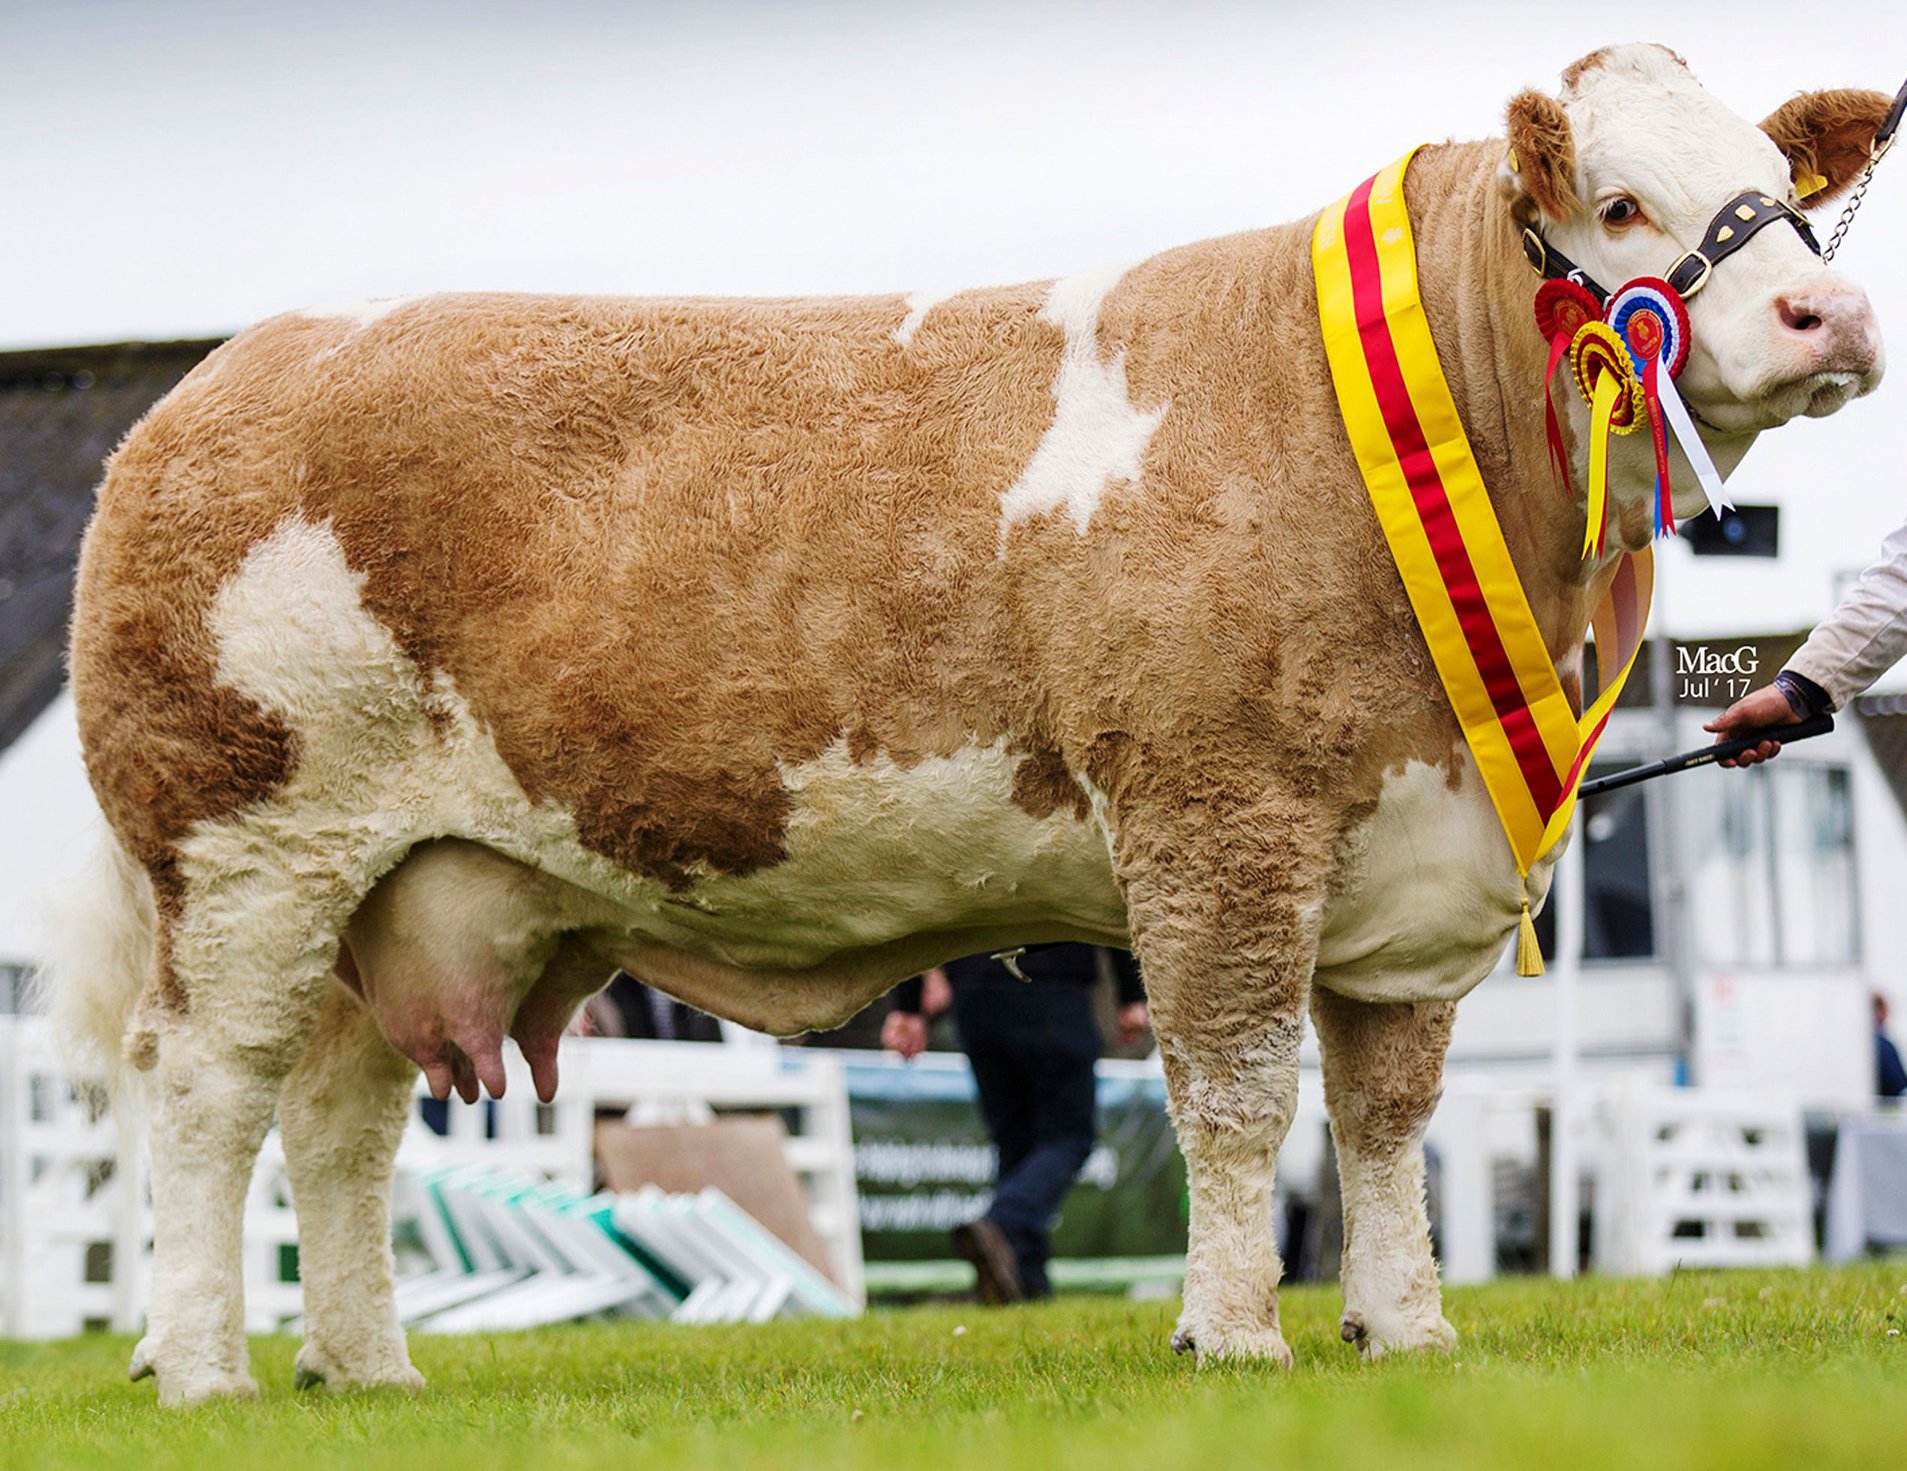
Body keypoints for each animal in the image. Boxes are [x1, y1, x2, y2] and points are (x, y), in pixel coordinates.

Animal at [46, 44, 1888, 1405]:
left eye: (1783, 190)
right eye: (1620, 201)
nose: (1831, 318)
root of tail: (218, 379)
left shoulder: (1411, 842)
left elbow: (1382, 1115)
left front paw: (1407, 1326)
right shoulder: (1217, 818)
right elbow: (1236, 1093)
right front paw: (1236, 1331)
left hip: (392, 881)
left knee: (337, 1117)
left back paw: (365, 1367)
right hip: (244, 845)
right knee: (206, 1093)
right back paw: (201, 1366)